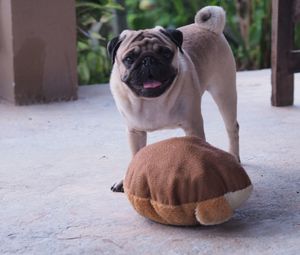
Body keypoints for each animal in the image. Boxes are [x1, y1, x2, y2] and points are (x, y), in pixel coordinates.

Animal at [107, 5, 239, 192]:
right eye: (129, 58)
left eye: (165, 53)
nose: (148, 60)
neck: (151, 101)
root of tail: (208, 28)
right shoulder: (134, 132)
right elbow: (135, 156)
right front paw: (127, 180)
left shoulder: (193, 127)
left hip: (224, 92)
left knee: (232, 128)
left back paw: (234, 156)